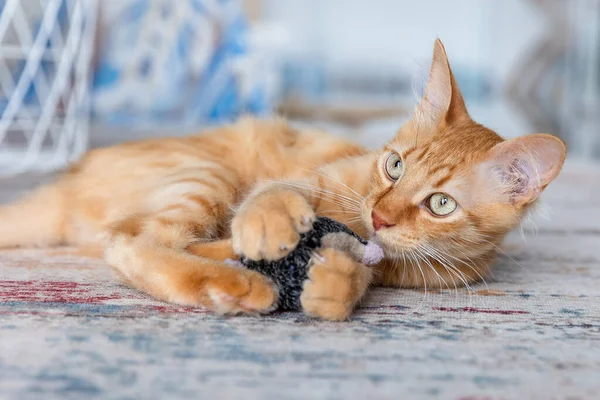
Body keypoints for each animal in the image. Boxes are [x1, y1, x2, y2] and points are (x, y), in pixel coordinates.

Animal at [0, 40, 564, 320]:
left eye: (441, 204)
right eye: (395, 165)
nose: (379, 215)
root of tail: (68, 181)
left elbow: (360, 268)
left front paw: (334, 286)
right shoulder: (316, 175)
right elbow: (277, 191)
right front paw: (272, 225)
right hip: (206, 174)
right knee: (130, 242)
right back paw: (238, 281)